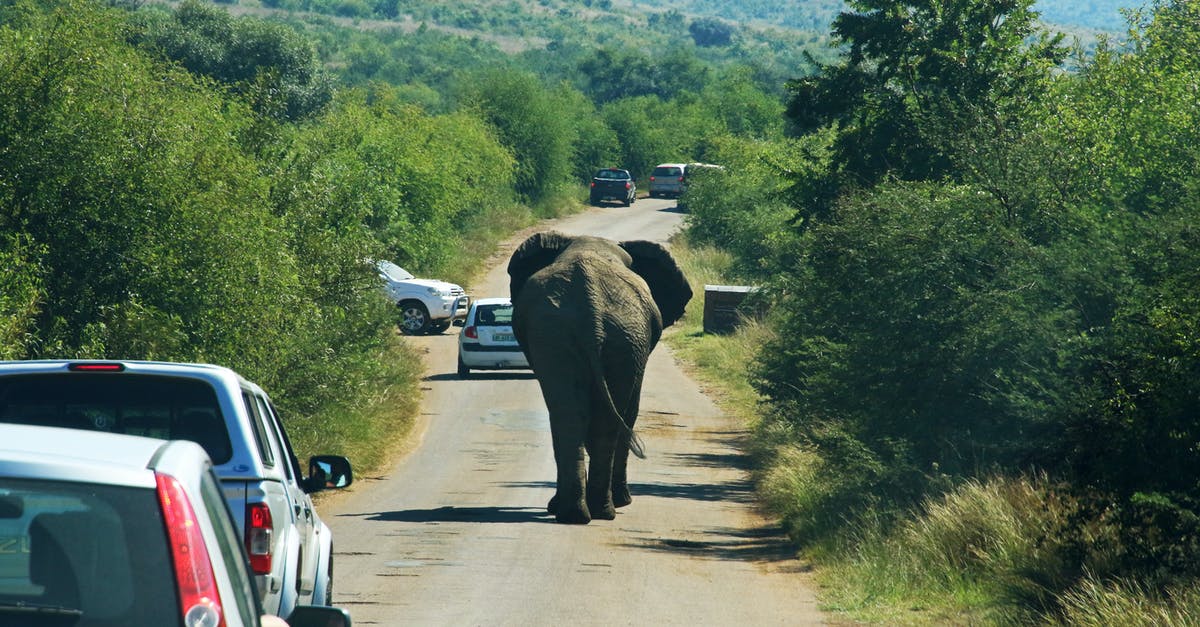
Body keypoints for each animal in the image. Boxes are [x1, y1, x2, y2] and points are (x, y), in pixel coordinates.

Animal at [507, 231, 693, 524]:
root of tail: (590, 309)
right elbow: (630, 412)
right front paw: (624, 501)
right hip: (618, 338)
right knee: (603, 419)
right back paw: (602, 510)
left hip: (566, 336)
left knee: (571, 415)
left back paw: (577, 514)